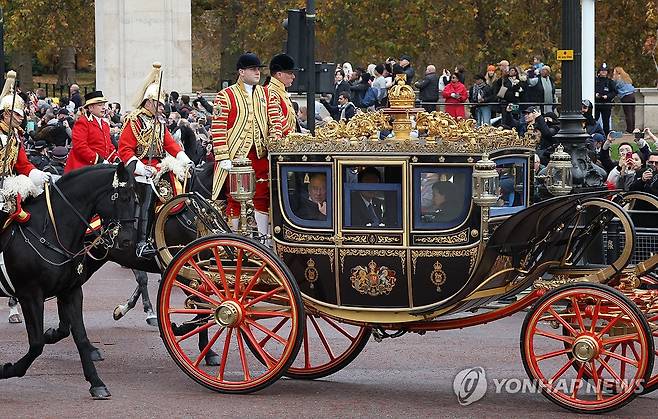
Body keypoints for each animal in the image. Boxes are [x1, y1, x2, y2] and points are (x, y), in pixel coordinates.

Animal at [0, 162, 136, 398]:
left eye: (135, 198)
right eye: (122, 197)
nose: (127, 240)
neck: (50, 232)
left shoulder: (71, 291)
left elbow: (78, 336)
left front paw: (96, 382)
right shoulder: (30, 295)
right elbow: (36, 344)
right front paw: (7, 369)